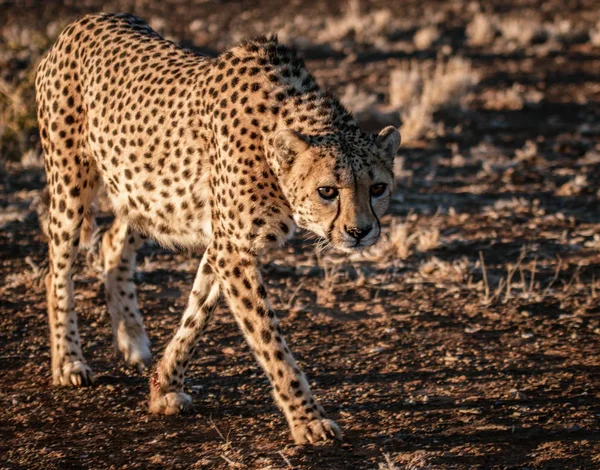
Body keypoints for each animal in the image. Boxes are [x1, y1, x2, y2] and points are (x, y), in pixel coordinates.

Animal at [37, 11, 400, 444]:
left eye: (377, 188)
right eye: (327, 191)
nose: (360, 231)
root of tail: (86, 20)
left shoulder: (223, 245)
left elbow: (196, 316)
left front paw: (164, 385)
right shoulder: (234, 249)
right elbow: (269, 341)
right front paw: (307, 419)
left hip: (146, 191)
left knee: (112, 244)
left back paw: (132, 340)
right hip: (71, 182)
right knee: (58, 270)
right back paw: (68, 362)